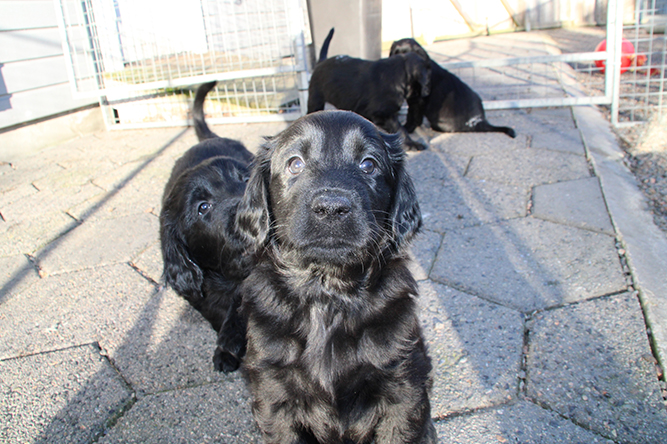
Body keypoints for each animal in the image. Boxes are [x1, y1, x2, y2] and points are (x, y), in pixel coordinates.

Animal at [235, 110, 437, 444]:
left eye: (368, 164)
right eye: (295, 163)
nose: (332, 208)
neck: (327, 293)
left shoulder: (403, 385)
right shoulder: (273, 390)